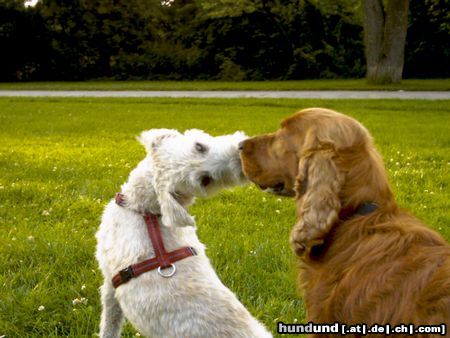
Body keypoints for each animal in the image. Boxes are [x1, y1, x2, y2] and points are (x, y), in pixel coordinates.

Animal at [96, 129, 270, 338]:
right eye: (205, 180)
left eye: (199, 146)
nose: (243, 159)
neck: (143, 210)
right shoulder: (109, 282)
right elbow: (110, 322)